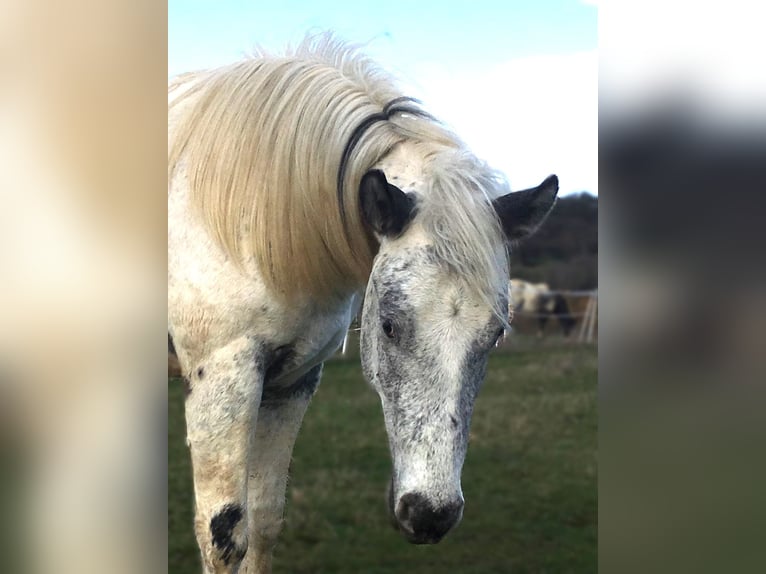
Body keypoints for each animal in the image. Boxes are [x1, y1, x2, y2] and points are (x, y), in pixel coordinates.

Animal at [170, 35, 560, 574]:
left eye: (497, 334)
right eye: (390, 326)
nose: (431, 516)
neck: (248, 220)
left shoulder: (290, 381)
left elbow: (264, 522)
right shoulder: (221, 380)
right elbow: (224, 536)